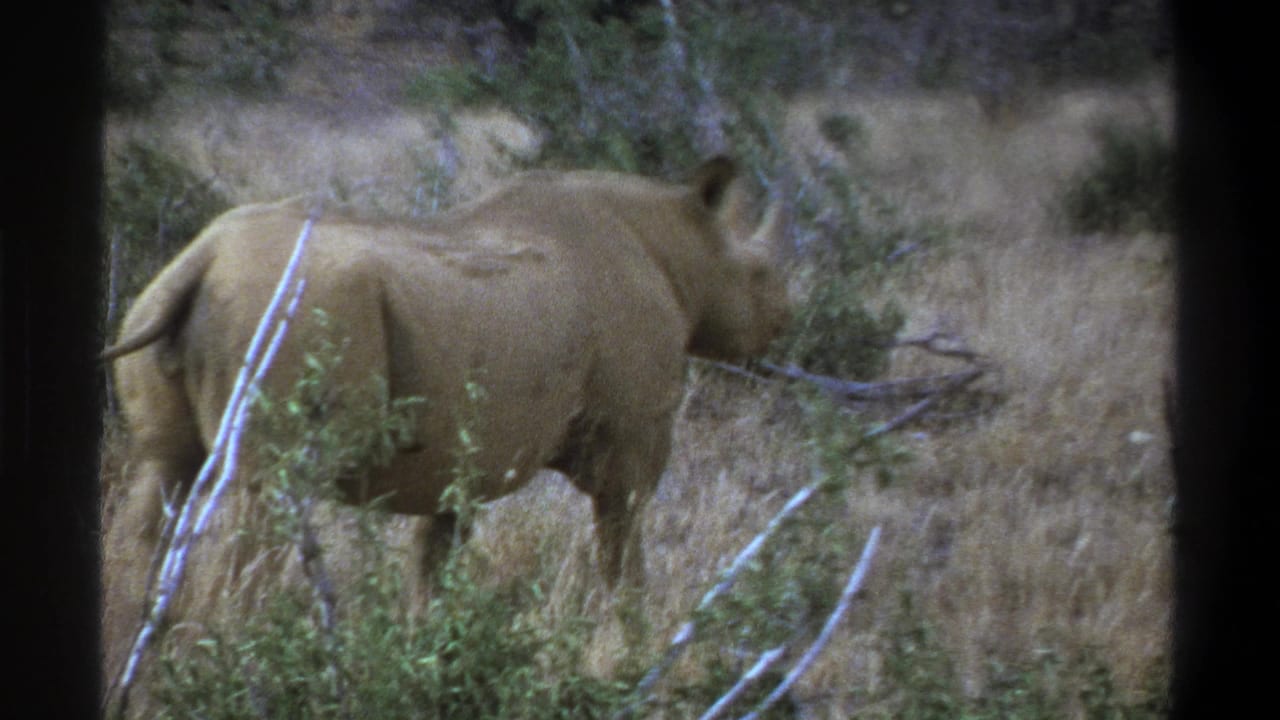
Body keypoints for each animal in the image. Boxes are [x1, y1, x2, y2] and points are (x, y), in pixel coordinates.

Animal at [103, 157, 789, 592]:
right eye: (760, 275)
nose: (784, 319)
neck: (680, 247)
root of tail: (203, 259)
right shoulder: (631, 442)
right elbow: (624, 553)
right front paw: (632, 649)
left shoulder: (464, 465)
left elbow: (435, 568)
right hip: (290, 317)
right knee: (263, 502)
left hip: (165, 298)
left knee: (159, 482)